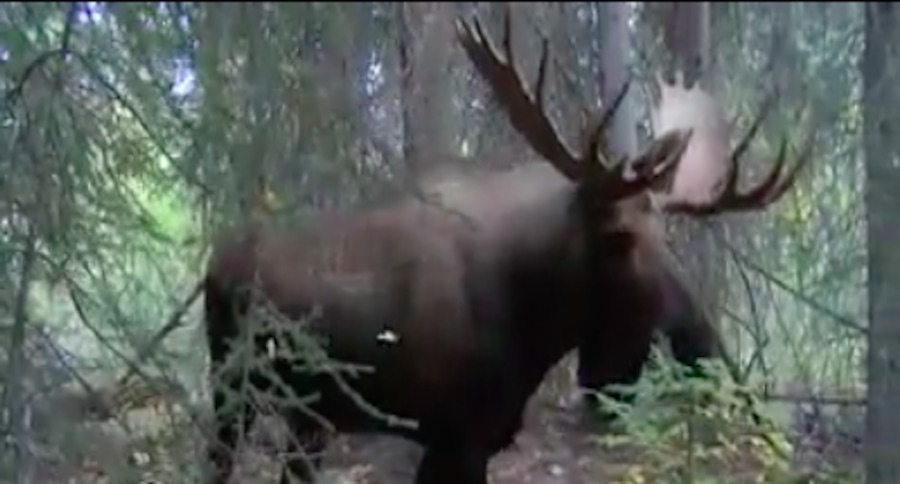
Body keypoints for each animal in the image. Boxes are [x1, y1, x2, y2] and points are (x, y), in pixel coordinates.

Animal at [202, 9, 810, 484]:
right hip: (232, 384)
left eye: (667, 237)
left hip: (310, 414)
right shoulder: (455, 437)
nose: (703, 342)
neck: (531, 319)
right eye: (619, 239)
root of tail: (215, 260)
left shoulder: (472, 437)